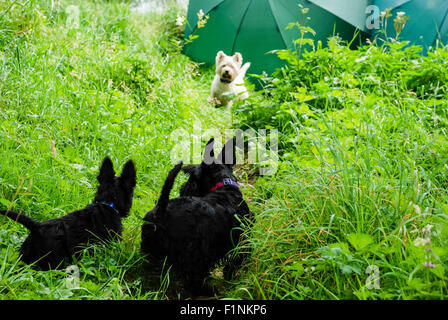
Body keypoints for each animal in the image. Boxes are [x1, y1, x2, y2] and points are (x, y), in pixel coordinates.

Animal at [141, 139, 252, 294]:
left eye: (192, 177)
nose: (183, 188)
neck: (224, 186)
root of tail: (162, 209)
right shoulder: (243, 238)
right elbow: (237, 260)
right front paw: (229, 275)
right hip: (194, 253)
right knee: (193, 278)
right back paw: (208, 290)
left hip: (150, 245)